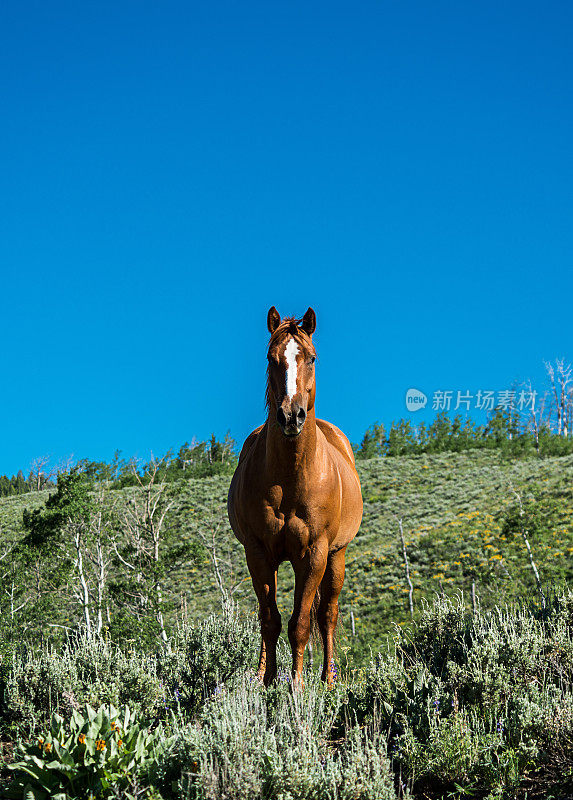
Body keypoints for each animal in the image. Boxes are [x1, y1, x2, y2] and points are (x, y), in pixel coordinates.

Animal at [227, 306, 362, 688]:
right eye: (271, 359)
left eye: (312, 358)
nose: (291, 416)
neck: (291, 478)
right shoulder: (258, 552)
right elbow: (269, 621)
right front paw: (268, 682)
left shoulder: (315, 553)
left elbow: (301, 623)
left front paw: (298, 688)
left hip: (336, 557)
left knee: (328, 615)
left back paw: (328, 678)